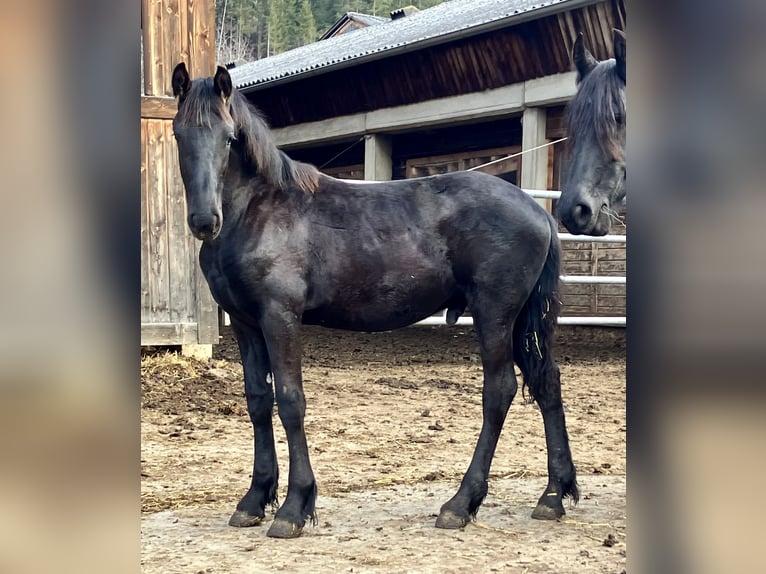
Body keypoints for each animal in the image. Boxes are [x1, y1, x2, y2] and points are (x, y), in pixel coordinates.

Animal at [170, 62, 578, 538]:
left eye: (229, 136)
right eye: (179, 133)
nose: (204, 221)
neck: (259, 210)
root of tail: (538, 211)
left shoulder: (279, 318)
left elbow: (290, 401)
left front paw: (293, 507)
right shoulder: (245, 323)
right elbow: (257, 401)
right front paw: (254, 499)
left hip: (495, 314)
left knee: (500, 391)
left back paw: (460, 503)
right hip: (521, 322)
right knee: (547, 384)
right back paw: (553, 495)